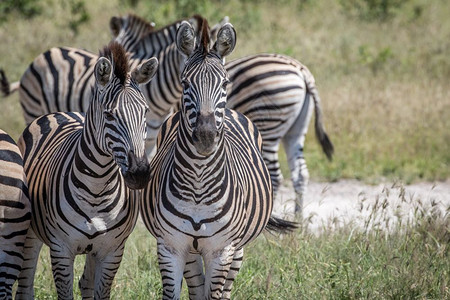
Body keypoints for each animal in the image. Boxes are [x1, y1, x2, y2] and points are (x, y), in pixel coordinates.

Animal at [14, 42, 158, 300]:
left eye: (145, 112)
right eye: (109, 114)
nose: (140, 174)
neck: (98, 189)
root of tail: (60, 111)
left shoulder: (112, 251)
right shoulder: (61, 250)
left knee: (86, 283)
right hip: (29, 232)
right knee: (25, 284)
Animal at [141, 18, 274, 300]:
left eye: (224, 84)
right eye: (184, 83)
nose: (205, 135)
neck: (199, 182)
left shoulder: (221, 250)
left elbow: (215, 294)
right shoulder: (170, 247)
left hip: (237, 248)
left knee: (224, 290)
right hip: (191, 252)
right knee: (196, 287)